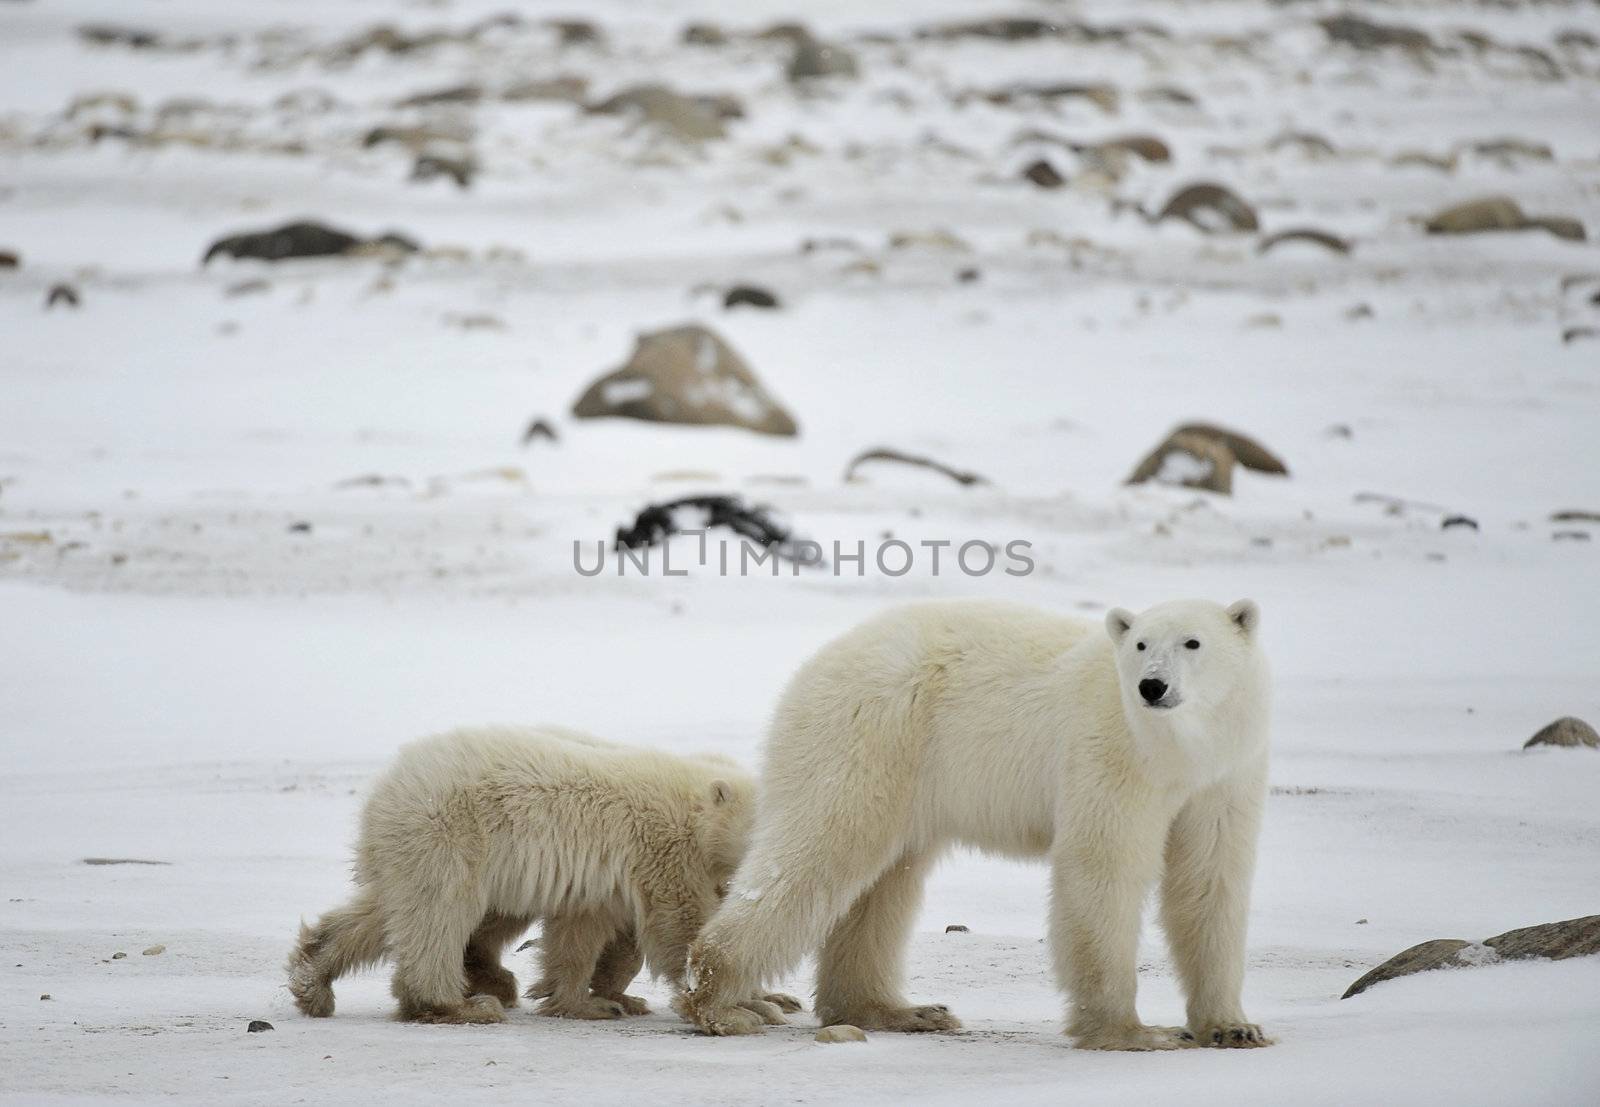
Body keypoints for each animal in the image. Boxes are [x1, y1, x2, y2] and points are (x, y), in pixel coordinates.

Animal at [681, 598, 1267, 1049]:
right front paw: (1135, 1032)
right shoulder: (1110, 755)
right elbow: (1104, 869)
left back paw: (901, 1011)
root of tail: (817, 663)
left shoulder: (1224, 778)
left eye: (1193, 642)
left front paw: (1233, 1027)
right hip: (872, 733)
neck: (1176, 750)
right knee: (820, 849)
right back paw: (721, 1003)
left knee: (884, 882)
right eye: (1141, 644)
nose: (1151, 687)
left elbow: (1210, 879)